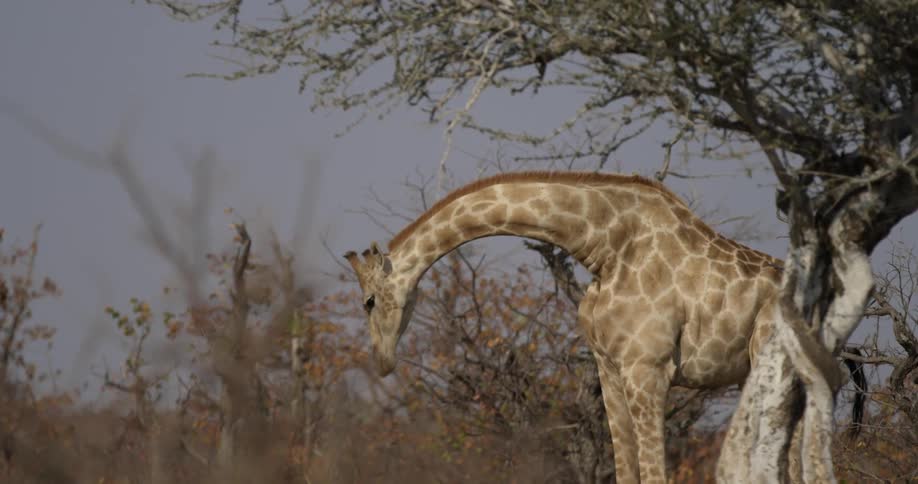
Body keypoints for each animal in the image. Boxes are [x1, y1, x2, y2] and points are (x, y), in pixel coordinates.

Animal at [344, 171, 783, 483]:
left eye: (368, 301)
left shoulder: (649, 370)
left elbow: (656, 474)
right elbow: (626, 473)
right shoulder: (610, 369)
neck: (607, 248)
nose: (382, 362)